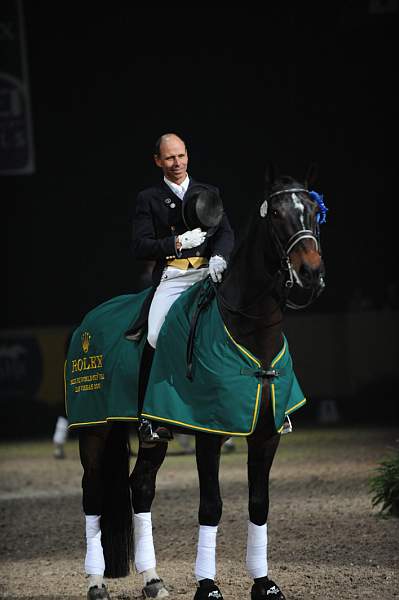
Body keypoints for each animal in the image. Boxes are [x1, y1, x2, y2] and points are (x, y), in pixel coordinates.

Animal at [76, 164, 326, 600]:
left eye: (312, 211)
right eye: (277, 215)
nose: (310, 274)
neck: (249, 331)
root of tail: (89, 322)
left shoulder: (266, 435)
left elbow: (259, 504)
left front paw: (263, 583)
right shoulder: (208, 432)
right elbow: (211, 506)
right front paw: (207, 585)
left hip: (152, 434)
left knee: (141, 488)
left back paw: (153, 580)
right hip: (93, 430)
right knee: (93, 495)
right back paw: (95, 582)